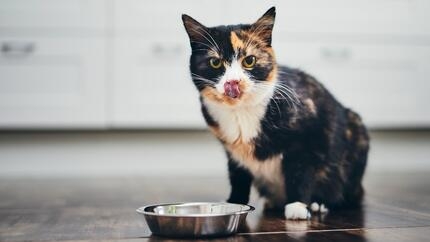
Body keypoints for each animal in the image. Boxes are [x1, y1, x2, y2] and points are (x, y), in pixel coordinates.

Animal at [181, 7, 370, 219]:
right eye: (215, 62)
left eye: (249, 60)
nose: (233, 82)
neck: (241, 112)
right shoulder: (233, 152)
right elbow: (238, 176)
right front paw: (234, 202)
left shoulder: (307, 135)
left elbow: (300, 170)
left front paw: (297, 206)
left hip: (356, 133)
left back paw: (319, 203)